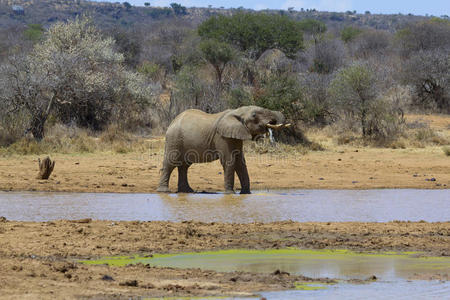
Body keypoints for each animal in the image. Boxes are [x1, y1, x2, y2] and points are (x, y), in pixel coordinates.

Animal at [156, 105, 290, 195]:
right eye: (254, 115)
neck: (237, 111)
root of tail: (173, 121)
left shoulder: (235, 136)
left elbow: (240, 163)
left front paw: (246, 194)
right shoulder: (222, 137)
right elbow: (229, 161)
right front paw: (230, 194)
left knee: (184, 166)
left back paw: (187, 191)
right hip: (174, 139)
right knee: (170, 163)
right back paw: (164, 191)